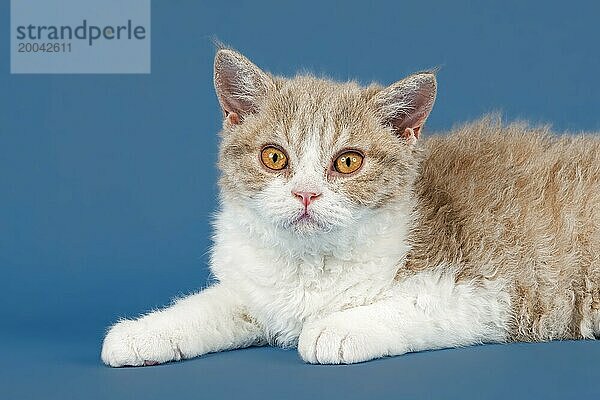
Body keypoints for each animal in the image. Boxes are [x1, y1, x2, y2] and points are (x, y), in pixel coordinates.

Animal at [101, 47, 596, 366]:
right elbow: (211, 306)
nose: (306, 193)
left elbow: (415, 304)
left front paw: (334, 329)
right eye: (274, 157)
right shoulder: (257, 293)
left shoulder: (484, 290)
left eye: (348, 161)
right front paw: (141, 333)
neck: (309, 266)